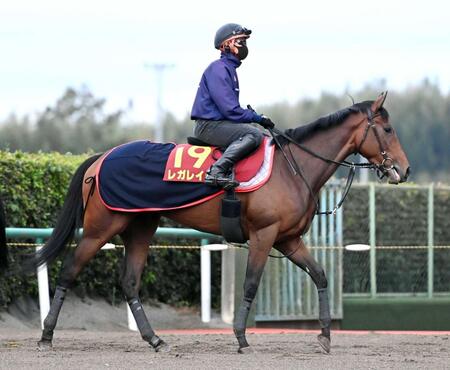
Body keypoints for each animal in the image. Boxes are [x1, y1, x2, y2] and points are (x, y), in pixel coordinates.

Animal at [33, 92, 410, 352]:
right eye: (388, 128)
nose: (403, 170)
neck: (293, 168)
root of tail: (101, 158)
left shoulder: (289, 240)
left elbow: (319, 276)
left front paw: (325, 335)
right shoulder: (263, 235)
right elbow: (251, 284)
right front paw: (241, 337)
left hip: (140, 229)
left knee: (129, 282)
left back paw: (155, 340)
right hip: (101, 228)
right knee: (69, 271)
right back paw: (46, 335)